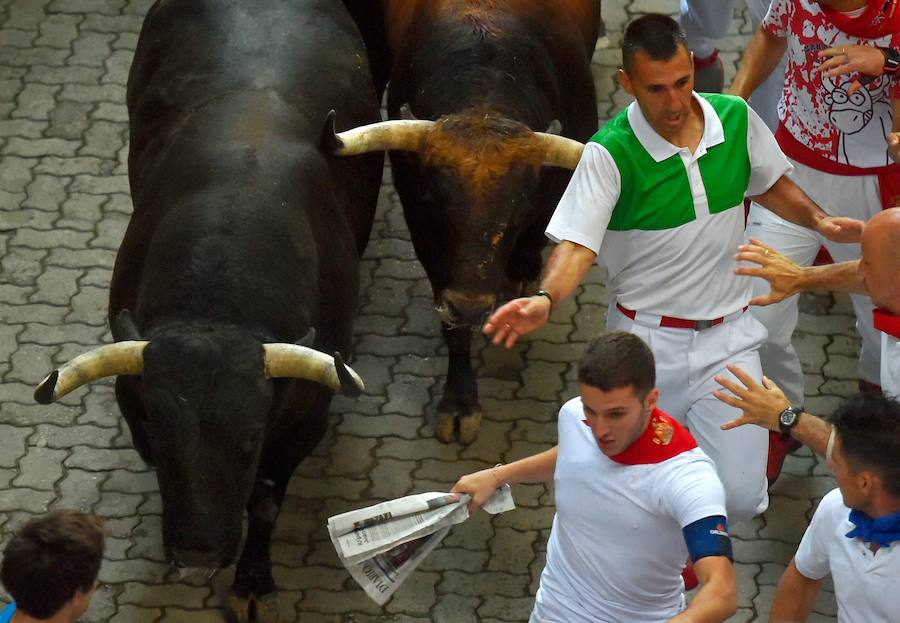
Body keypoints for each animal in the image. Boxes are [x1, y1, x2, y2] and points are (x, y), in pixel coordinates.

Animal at [32, 2, 380, 620]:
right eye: (161, 433)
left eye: (248, 439)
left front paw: (252, 583)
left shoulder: (303, 424)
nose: (198, 550)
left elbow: (265, 503)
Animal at [326, 1, 600, 448]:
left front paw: (522, 272)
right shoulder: (419, 222)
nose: (471, 307)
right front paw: (459, 402)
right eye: (434, 203)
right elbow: (450, 323)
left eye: (517, 211)